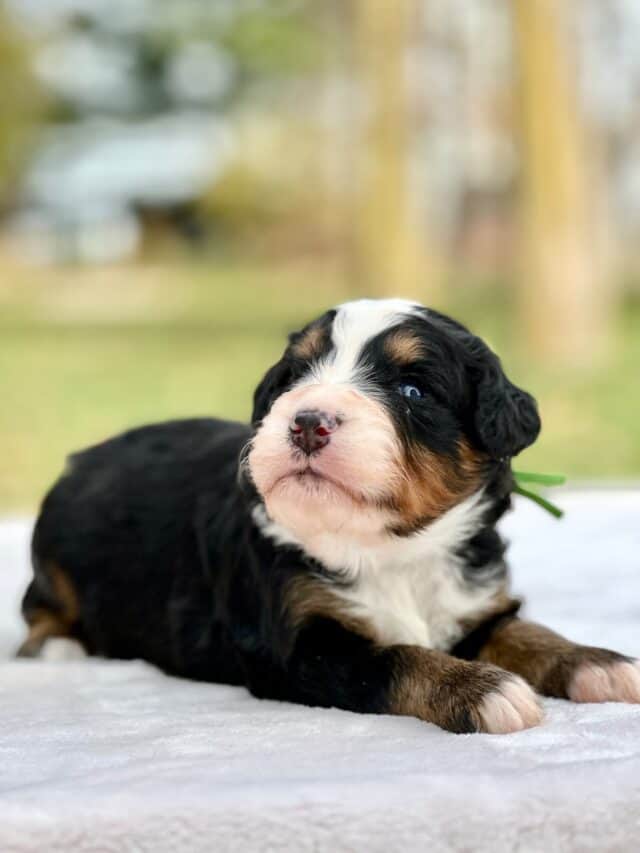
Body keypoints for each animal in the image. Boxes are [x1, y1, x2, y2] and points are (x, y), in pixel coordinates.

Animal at [18, 300, 636, 732]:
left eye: (412, 389)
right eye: (294, 379)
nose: (308, 421)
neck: (392, 550)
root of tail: (83, 458)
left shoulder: (475, 605)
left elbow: (529, 631)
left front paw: (599, 663)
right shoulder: (300, 645)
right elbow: (398, 658)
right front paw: (484, 691)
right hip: (50, 562)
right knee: (37, 615)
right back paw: (60, 647)